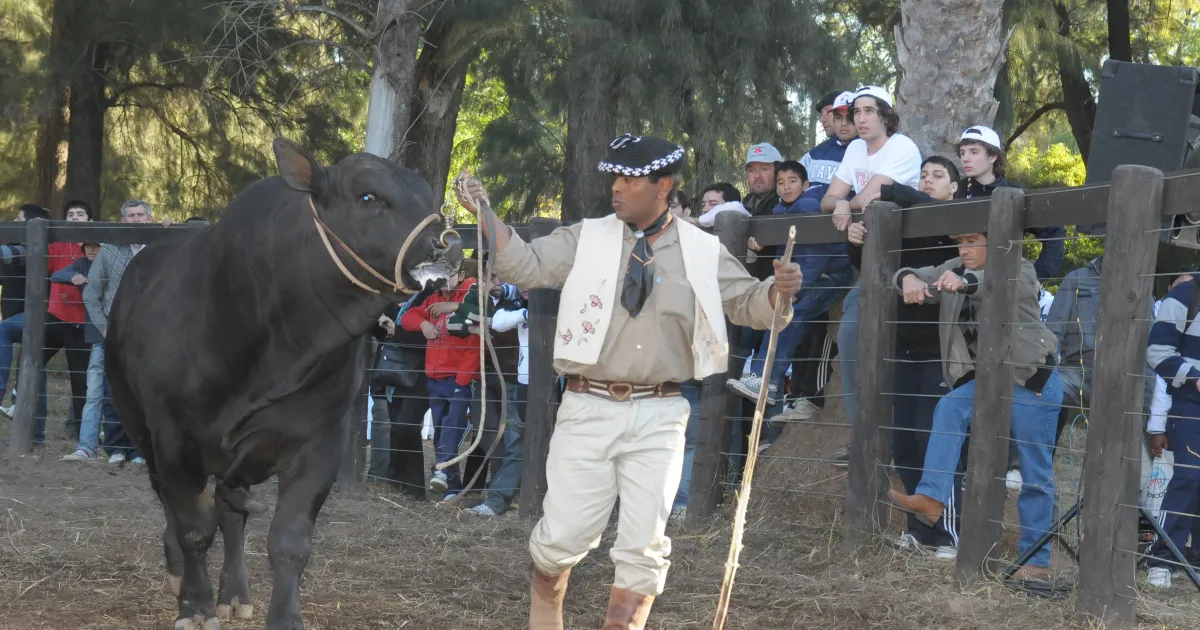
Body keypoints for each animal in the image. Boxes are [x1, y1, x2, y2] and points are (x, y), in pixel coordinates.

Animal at [105, 138, 464, 630]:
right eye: (368, 196)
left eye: (430, 197)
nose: (450, 244)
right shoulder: (173, 440)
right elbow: (193, 528)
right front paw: (195, 606)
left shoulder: (320, 442)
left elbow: (289, 541)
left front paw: (283, 615)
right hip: (138, 425)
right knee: (175, 507)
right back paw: (181, 574)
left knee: (231, 511)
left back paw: (235, 592)